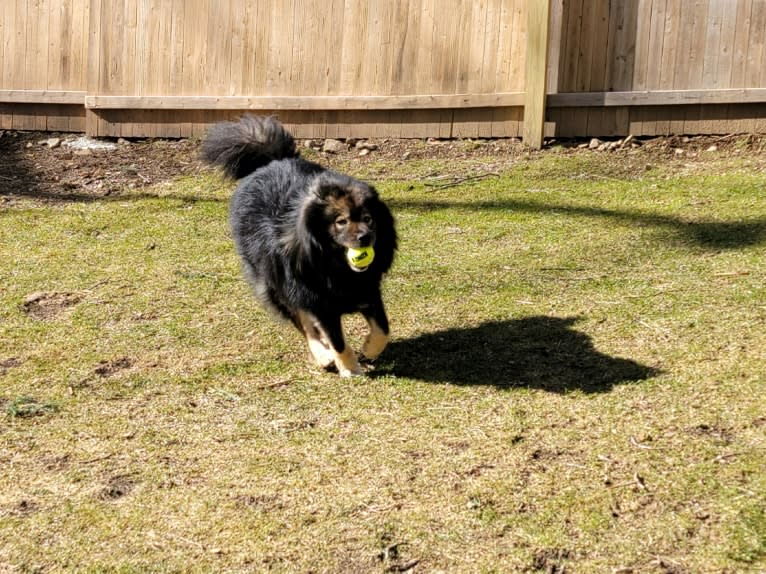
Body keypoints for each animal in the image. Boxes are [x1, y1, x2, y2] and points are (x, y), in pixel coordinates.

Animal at [201, 116, 400, 378]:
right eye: (341, 221)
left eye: (369, 219)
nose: (365, 237)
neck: (336, 267)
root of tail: (271, 161)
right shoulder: (319, 302)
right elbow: (336, 340)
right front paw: (348, 368)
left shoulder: (367, 291)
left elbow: (383, 329)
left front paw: (369, 349)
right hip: (277, 287)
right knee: (304, 324)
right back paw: (323, 356)